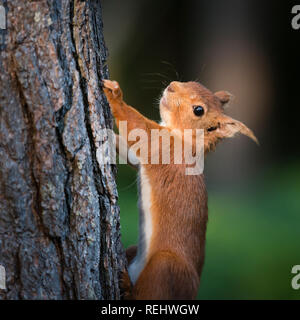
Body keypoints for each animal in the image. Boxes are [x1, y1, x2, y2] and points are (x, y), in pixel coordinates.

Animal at [103, 79, 258, 298]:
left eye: (198, 110)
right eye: (193, 82)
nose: (172, 86)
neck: (184, 140)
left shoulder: (163, 148)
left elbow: (138, 128)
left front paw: (115, 95)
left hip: (165, 268)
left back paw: (126, 286)